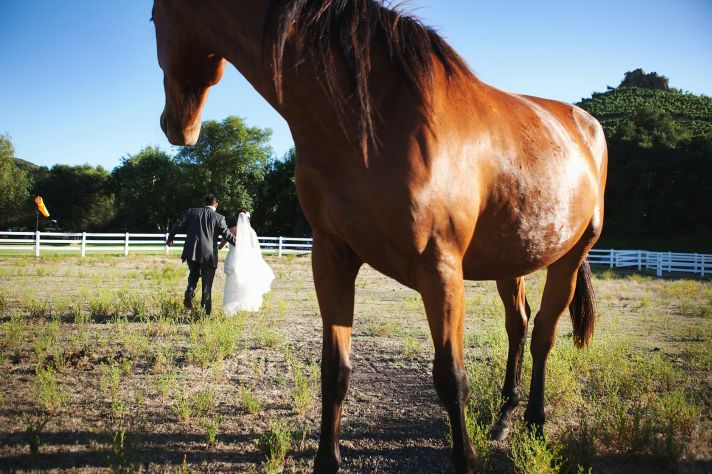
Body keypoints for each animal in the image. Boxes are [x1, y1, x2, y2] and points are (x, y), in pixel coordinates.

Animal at [152, 1, 607, 472]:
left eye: (153, 20)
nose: (173, 125)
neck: (376, 119)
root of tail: (586, 124)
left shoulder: (441, 269)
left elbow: (451, 378)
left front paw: (465, 458)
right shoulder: (332, 257)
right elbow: (334, 370)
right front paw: (326, 460)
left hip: (570, 256)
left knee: (543, 336)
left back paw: (535, 421)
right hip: (510, 261)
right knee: (518, 324)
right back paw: (504, 417)